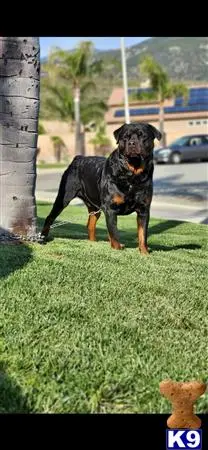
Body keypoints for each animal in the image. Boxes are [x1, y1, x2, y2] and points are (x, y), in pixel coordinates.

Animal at [40, 121, 161, 253]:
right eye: (125, 137)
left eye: (142, 136)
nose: (132, 143)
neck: (132, 175)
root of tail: (78, 158)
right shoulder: (110, 209)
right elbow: (114, 233)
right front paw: (117, 249)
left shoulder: (144, 210)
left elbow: (142, 234)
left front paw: (144, 252)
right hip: (64, 197)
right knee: (50, 217)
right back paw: (42, 237)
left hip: (95, 207)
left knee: (91, 223)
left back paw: (93, 243)